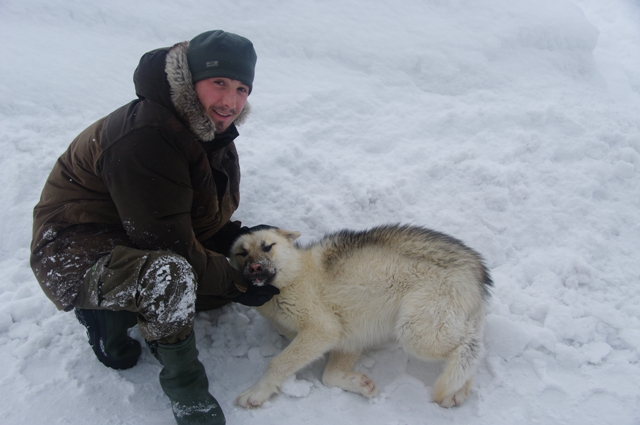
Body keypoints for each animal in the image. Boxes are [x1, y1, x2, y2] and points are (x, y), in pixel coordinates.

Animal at [228, 224, 492, 410]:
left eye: (267, 246)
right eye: (242, 253)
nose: (254, 268)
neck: (291, 279)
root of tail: (475, 269)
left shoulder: (323, 330)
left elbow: (278, 363)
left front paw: (255, 393)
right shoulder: (348, 340)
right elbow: (329, 378)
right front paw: (361, 385)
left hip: (415, 333)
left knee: (471, 346)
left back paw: (454, 390)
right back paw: (457, 393)